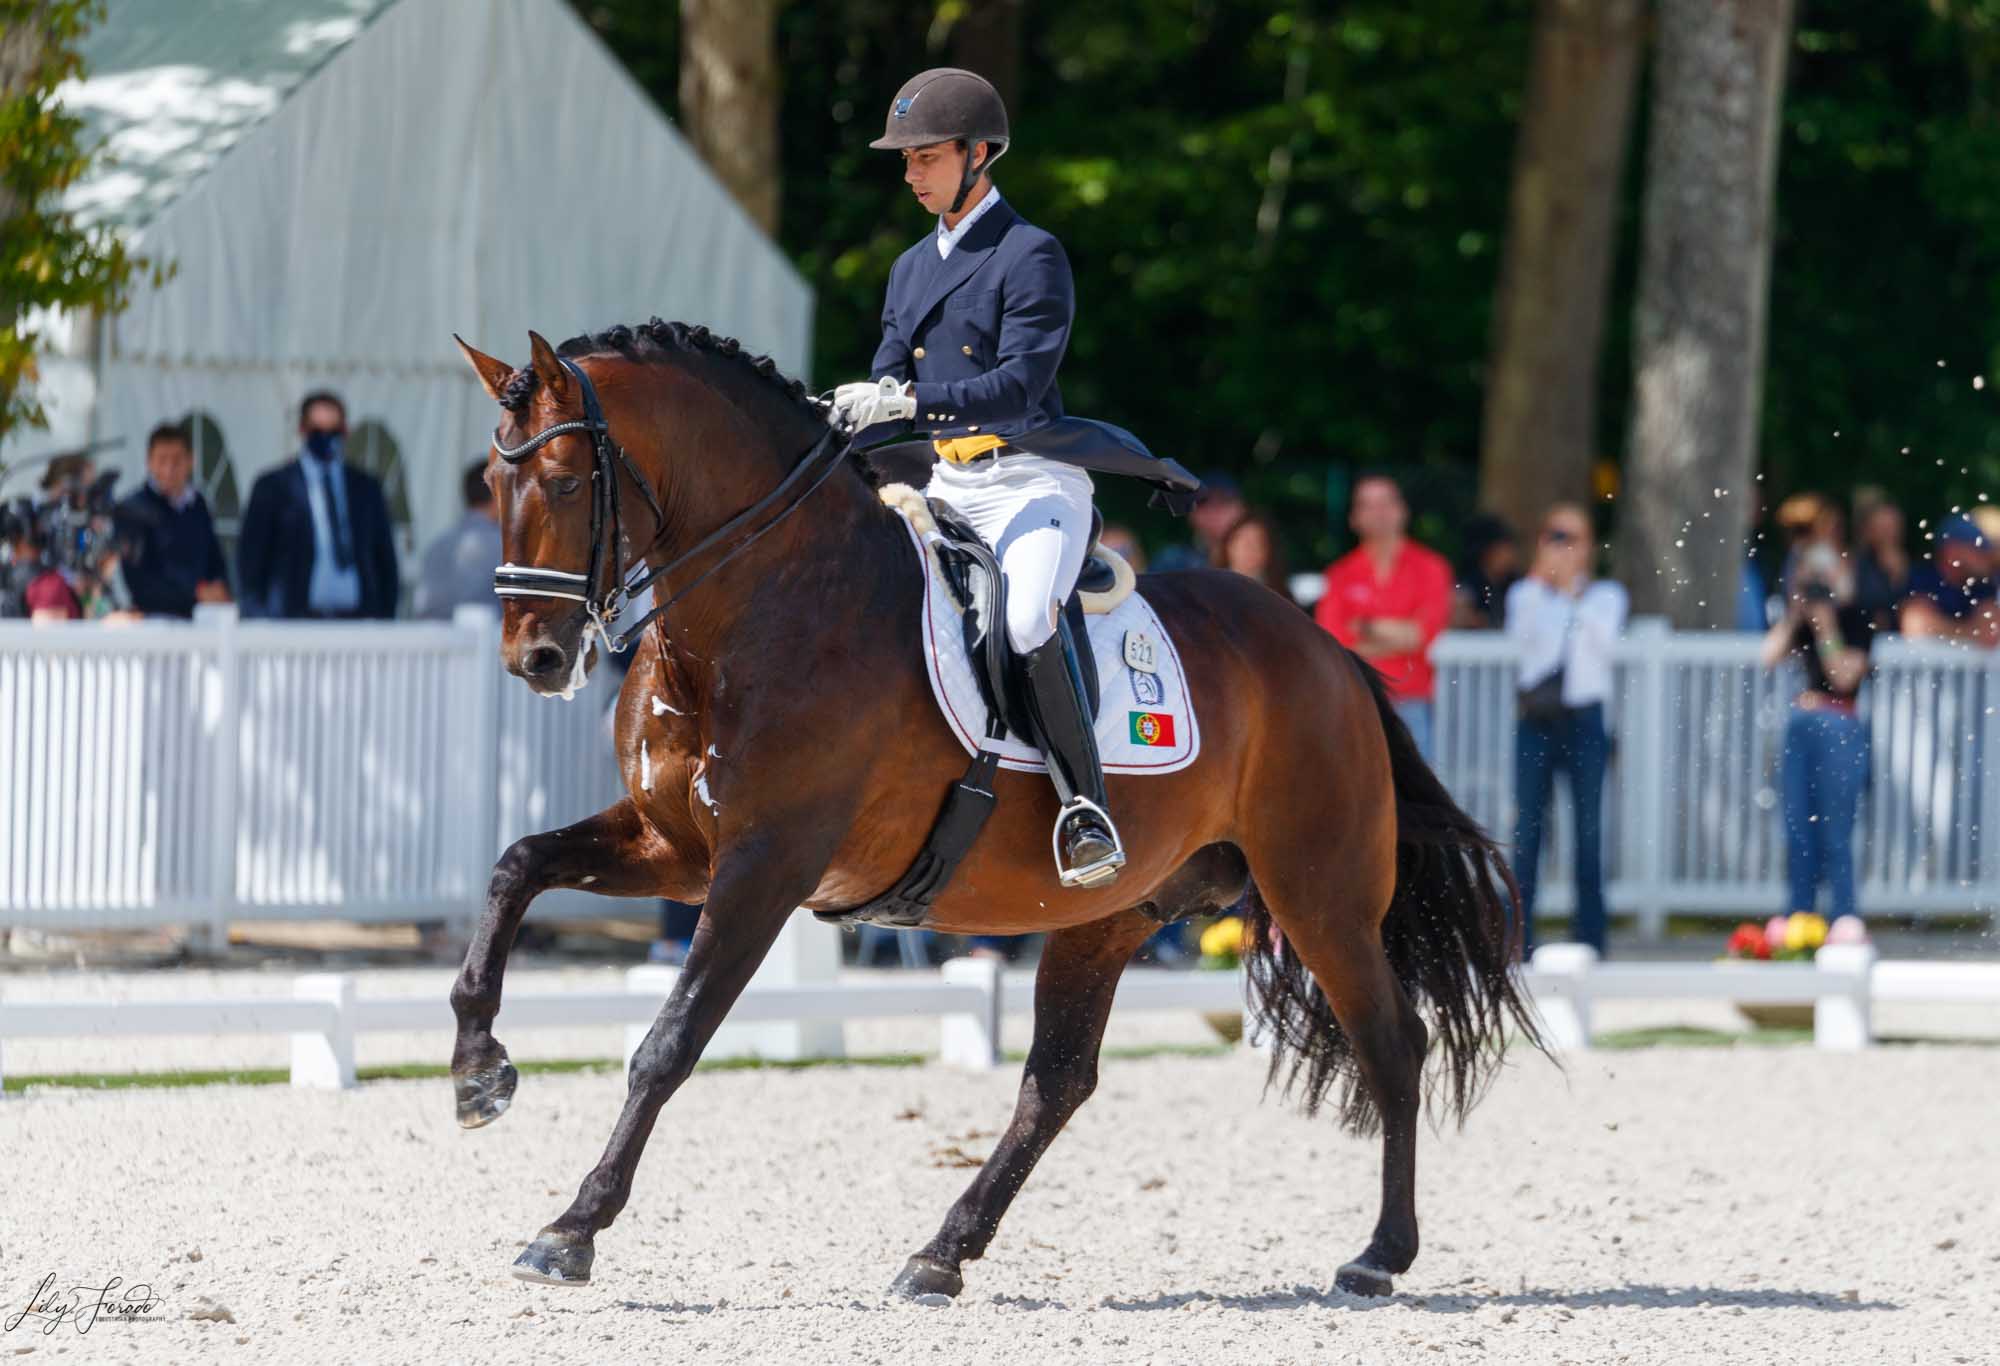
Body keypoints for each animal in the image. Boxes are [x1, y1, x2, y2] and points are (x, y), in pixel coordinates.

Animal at [446, 318, 1536, 1304]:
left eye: (567, 482)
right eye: (495, 484)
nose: (537, 658)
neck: (758, 605)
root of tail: (1327, 648)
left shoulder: (765, 866)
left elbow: (667, 1043)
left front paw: (569, 1229)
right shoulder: (674, 846)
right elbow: (515, 866)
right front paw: (477, 1072)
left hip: (1319, 896)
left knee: (1393, 1045)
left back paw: (1378, 1257)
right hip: (1110, 913)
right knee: (1056, 1082)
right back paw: (940, 1254)